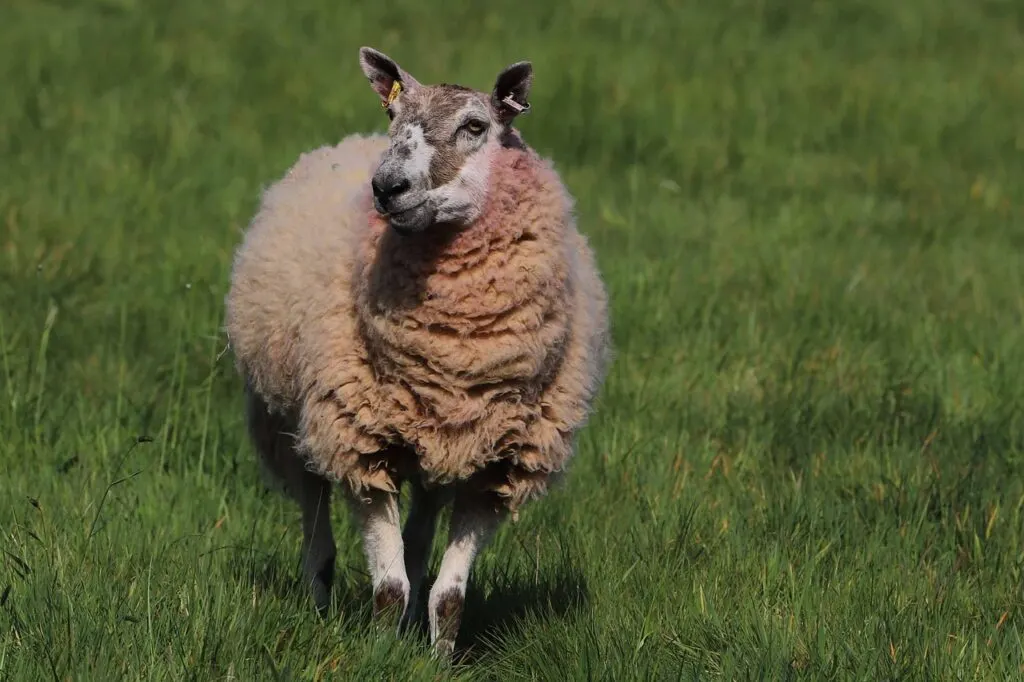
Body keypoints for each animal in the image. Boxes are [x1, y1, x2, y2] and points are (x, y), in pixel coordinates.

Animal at [223, 46, 611, 655]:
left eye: (475, 126)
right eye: (392, 115)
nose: (387, 186)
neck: (456, 353)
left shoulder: (497, 468)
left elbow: (447, 595)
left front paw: (437, 656)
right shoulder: (361, 443)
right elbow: (388, 587)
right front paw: (381, 656)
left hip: (438, 450)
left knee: (420, 534)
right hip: (284, 420)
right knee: (315, 519)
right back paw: (319, 603)